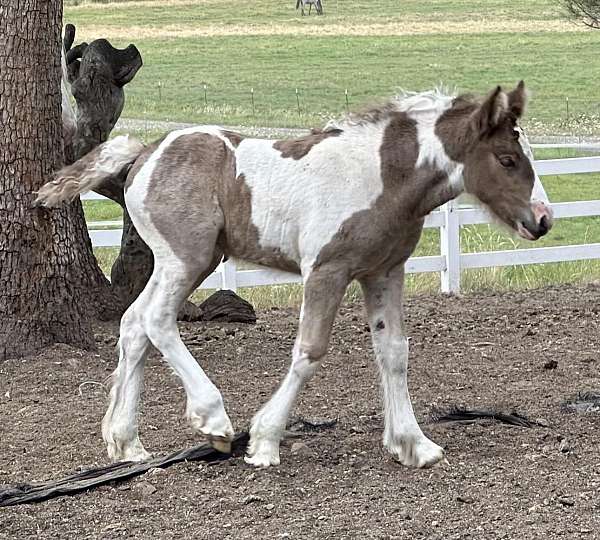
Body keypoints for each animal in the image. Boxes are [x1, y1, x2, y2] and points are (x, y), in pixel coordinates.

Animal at [37, 80, 552, 468]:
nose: (544, 219)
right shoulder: (327, 271)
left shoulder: (384, 271)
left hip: (179, 264)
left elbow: (394, 353)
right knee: (156, 321)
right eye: (507, 159)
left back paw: (127, 442)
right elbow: (310, 350)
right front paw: (264, 440)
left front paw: (413, 443)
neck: (382, 175)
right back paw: (214, 421)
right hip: (186, 259)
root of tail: (144, 152)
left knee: (133, 325)